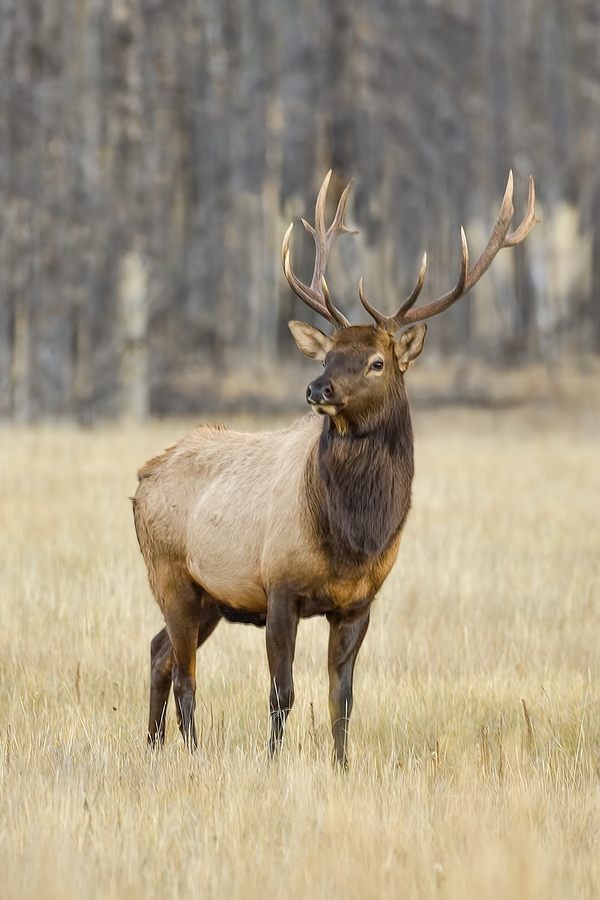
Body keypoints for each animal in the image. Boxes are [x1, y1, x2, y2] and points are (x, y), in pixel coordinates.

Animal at [134, 165, 536, 764]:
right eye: (327, 354)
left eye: (376, 362)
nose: (316, 388)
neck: (353, 537)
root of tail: (142, 478)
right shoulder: (278, 586)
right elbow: (281, 692)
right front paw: (273, 762)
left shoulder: (358, 602)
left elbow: (341, 697)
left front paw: (342, 766)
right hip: (172, 574)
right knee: (184, 672)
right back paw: (191, 753)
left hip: (209, 597)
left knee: (159, 651)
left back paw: (153, 748)